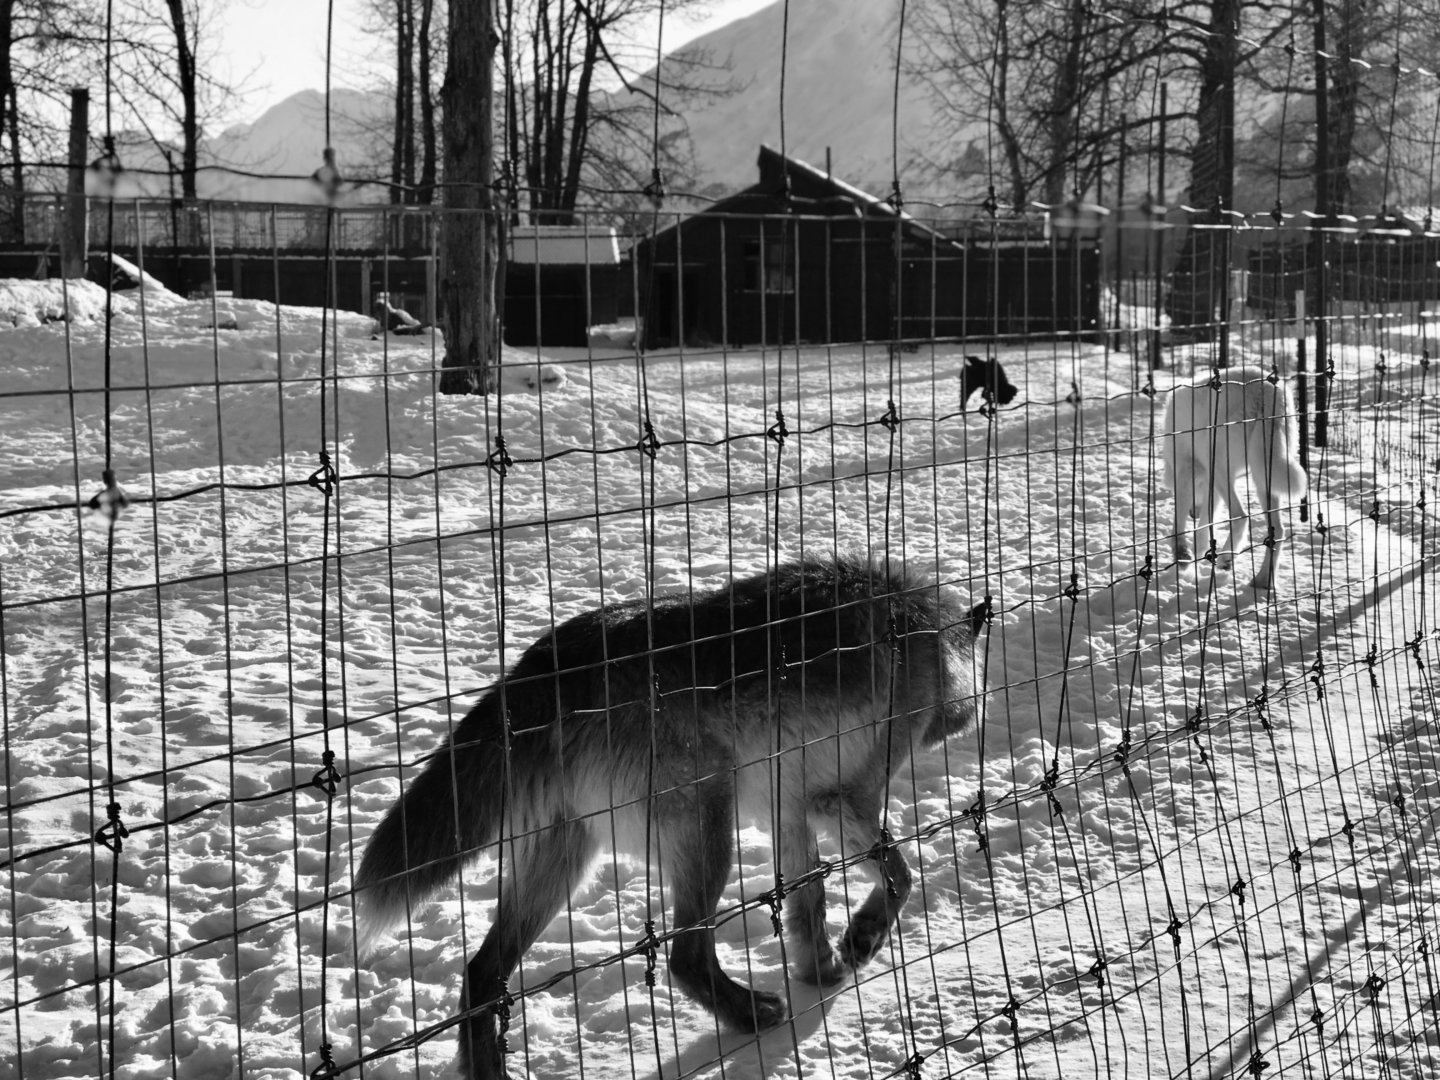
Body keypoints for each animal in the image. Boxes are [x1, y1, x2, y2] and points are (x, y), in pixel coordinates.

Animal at [354, 555, 985, 1079]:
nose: (967, 722)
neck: (926, 638)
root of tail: (551, 662)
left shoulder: (790, 811)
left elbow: (809, 900)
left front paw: (822, 971)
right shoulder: (842, 800)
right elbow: (900, 877)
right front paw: (862, 939)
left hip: (567, 864)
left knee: (481, 973)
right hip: (708, 834)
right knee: (685, 956)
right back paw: (752, 1014)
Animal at [1162, 365, 1308, 590]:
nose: (1193, 512)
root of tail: (1265, 391)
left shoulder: (1187, 470)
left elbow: (1179, 524)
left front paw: (1183, 557)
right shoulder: (1212, 487)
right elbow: (1203, 529)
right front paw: (1195, 558)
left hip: (1220, 465)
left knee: (1241, 517)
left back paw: (1226, 558)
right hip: (1262, 476)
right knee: (1278, 530)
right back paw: (1262, 580)